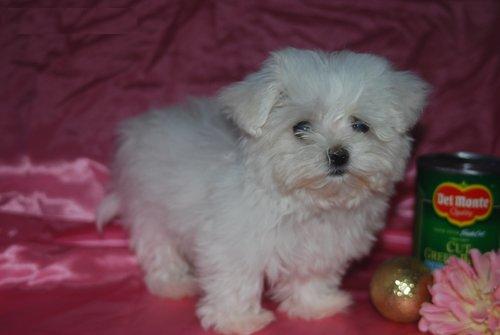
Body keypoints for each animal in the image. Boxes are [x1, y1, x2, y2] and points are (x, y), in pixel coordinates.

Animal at [97, 48, 430, 334]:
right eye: (300, 127)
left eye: (361, 125)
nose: (338, 155)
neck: (307, 203)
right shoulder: (233, 243)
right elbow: (236, 280)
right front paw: (237, 321)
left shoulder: (320, 247)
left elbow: (311, 275)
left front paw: (315, 305)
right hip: (148, 207)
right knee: (158, 247)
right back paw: (173, 283)